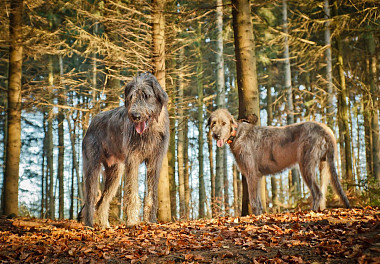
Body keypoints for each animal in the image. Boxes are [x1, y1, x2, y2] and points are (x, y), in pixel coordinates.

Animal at [81, 73, 168, 228]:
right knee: (90, 199)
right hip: (92, 166)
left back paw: (105, 226)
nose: (135, 115)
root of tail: (92, 121)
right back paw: (89, 225)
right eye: (132, 96)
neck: (149, 131)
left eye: (146, 96)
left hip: (115, 172)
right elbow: (132, 191)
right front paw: (132, 222)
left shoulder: (155, 161)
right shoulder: (133, 159)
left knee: (102, 202)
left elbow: (152, 194)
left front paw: (151, 220)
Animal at [208, 108, 350, 216]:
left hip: (306, 165)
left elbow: (253, 201)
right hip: (325, 165)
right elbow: (258, 201)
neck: (237, 134)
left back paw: (312, 212)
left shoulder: (251, 174)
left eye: (224, 123)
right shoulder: (257, 176)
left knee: (317, 193)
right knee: (323, 191)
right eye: (214, 123)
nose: (216, 135)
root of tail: (326, 130)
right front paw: (259, 215)